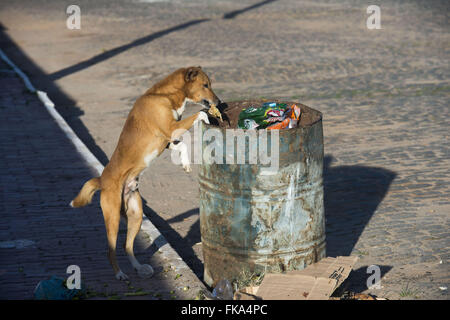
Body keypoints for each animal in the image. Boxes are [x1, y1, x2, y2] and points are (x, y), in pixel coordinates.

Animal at [69, 66, 221, 278]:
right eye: (205, 85)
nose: (219, 102)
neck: (166, 96)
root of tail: (101, 180)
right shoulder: (171, 129)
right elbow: (197, 115)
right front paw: (206, 116)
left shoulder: (168, 140)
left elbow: (181, 146)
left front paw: (185, 163)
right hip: (113, 218)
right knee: (111, 249)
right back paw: (120, 274)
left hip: (136, 215)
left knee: (127, 246)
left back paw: (139, 268)